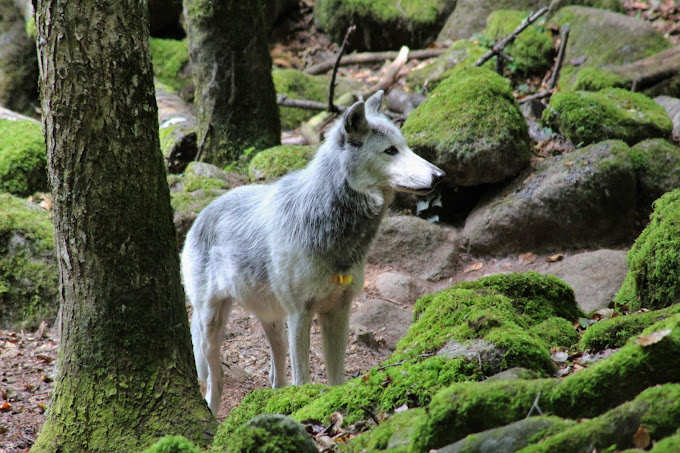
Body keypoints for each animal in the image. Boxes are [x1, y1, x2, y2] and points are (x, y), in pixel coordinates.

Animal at [182, 91, 446, 414]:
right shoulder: (301, 313)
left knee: (275, 375)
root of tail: (202, 214)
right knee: (214, 378)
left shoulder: (339, 311)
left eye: (406, 146)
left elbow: (336, 377)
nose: (440, 175)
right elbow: (303, 378)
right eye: (390, 151)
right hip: (212, 325)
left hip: (273, 322)